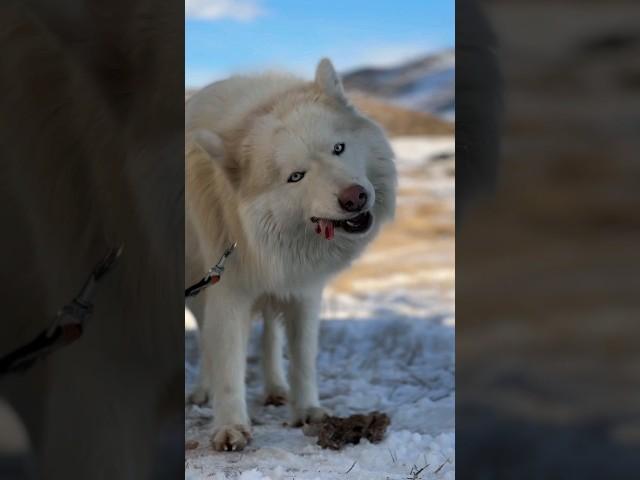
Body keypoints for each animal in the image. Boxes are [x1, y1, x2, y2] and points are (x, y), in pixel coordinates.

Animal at [184, 58, 396, 452]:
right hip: (197, 293)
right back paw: (202, 390)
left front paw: (308, 411)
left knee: (270, 335)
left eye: (339, 148)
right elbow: (228, 364)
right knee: (207, 341)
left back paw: (276, 389)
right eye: (296, 176)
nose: (354, 198)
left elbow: (302, 357)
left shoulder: (303, 290)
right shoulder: (228, 294)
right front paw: (231, 426)